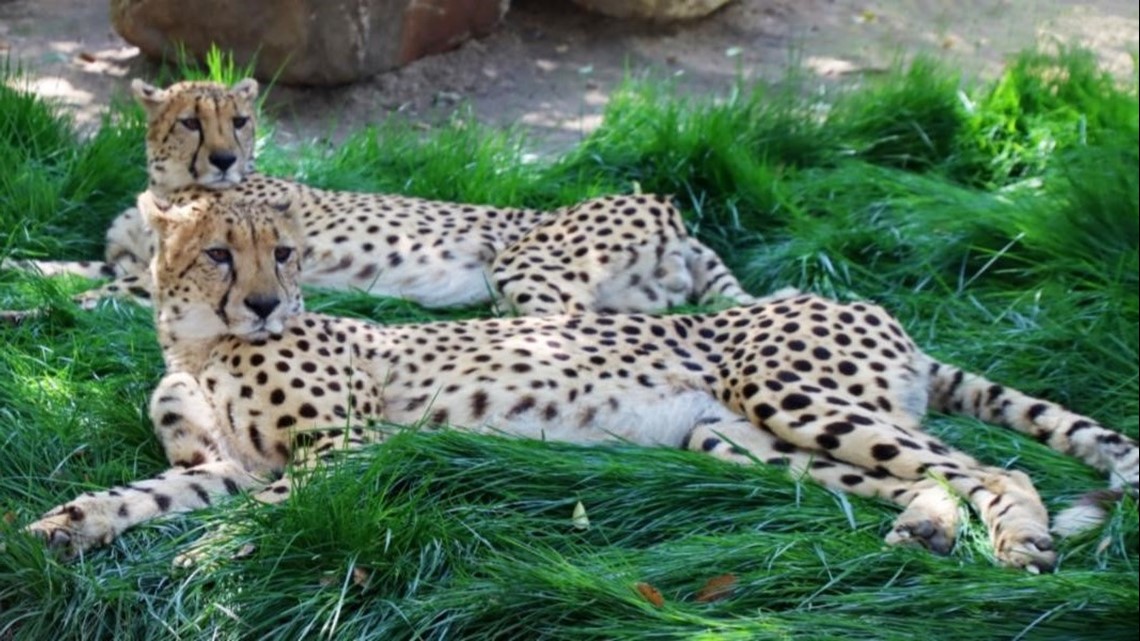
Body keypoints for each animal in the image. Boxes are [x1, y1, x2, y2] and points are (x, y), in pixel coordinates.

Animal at [3, 77, 761, 318]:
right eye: (192, 120)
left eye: (239, 120)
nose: (224, 158)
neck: (173, 183)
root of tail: (671, 210)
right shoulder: (129, 262)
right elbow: (54, 269)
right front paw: (22, 274)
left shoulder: (176, 276)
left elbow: (80, 299)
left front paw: (22, 315)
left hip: (525, 264)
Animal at [25, 194, 1139, 573]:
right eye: (218, 252)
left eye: (289, 252)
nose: (263, 304)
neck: (201, 345)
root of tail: (866, 305)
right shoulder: (224, 459)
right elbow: (154, 491)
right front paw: (71, 522)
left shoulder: (346, 447)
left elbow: (272, 505)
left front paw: (208, 556)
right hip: (741, 443)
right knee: (927, 474)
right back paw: (928, 531)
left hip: (796, 397)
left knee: (992, 463)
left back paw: (1023, 540)